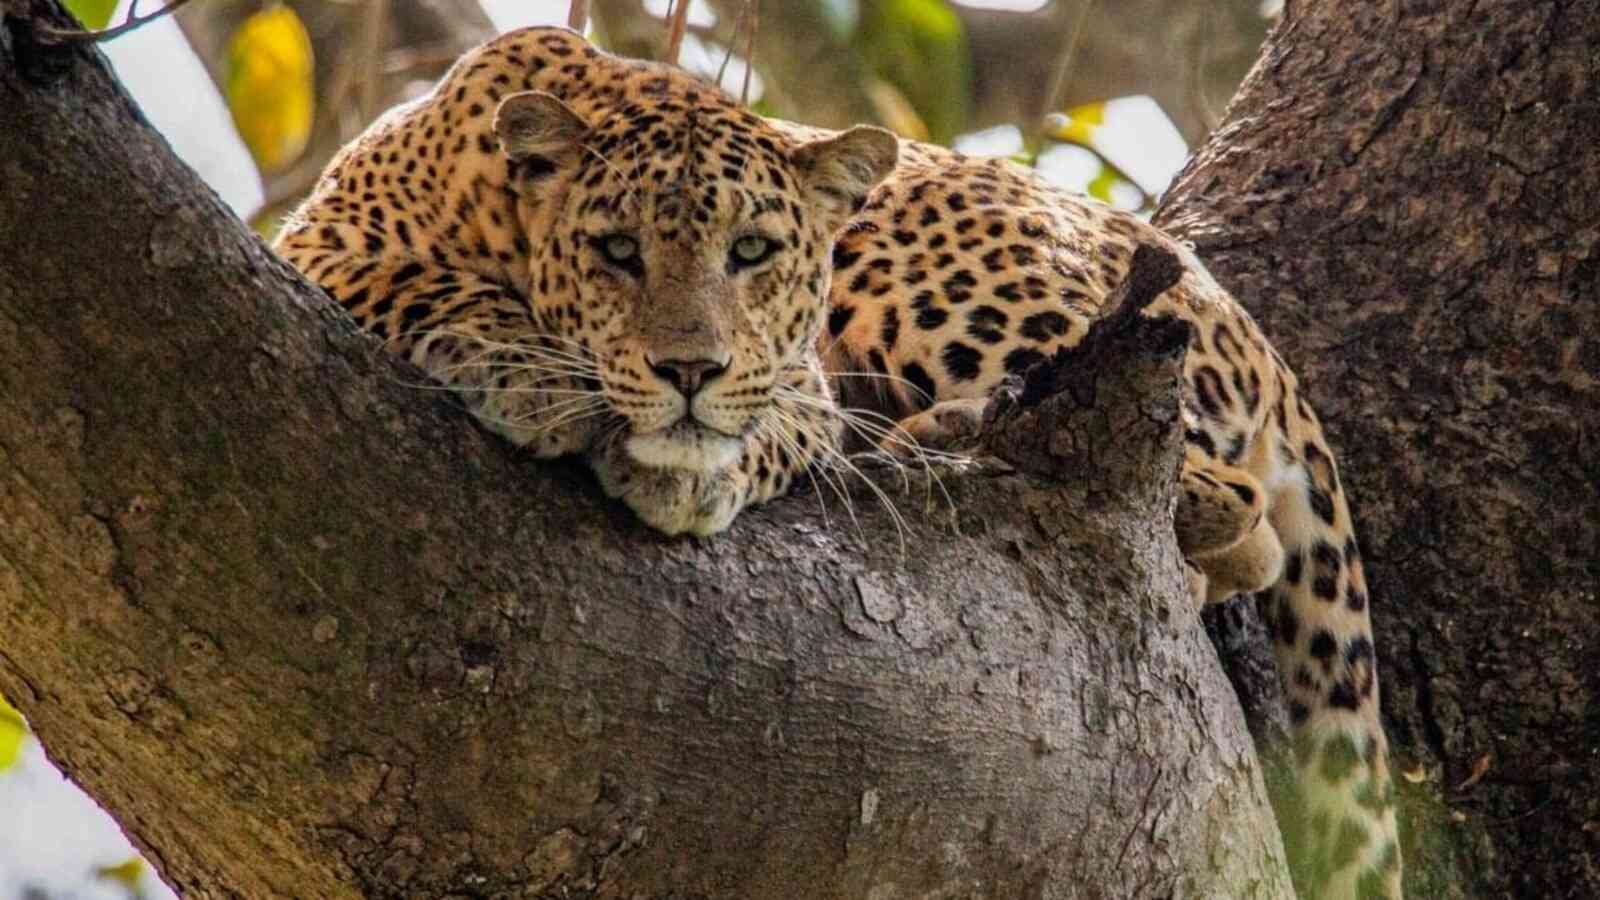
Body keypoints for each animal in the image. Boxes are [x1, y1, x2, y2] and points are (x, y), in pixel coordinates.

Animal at [273, 26, 1402, 899]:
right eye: (616, 253)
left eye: (753, 254)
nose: (688, 367)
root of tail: (1248, 329)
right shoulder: (316, 242)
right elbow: (414, 278)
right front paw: (529, 366)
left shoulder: (804, 377)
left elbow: (769, 418)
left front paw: (686, 464)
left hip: (931, 281)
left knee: (1235, 512)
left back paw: (940, 432)